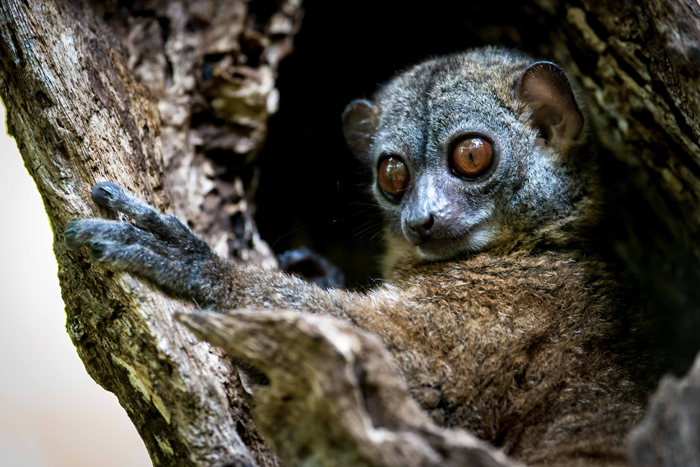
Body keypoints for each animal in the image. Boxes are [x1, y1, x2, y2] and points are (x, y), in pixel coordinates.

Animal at [64, 47, 660, 466]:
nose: (421, 218)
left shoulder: (509, 310)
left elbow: (408, 374)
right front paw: (312, 268)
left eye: (472, 156)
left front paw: (193, 260)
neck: (535, 243)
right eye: (393, 173)